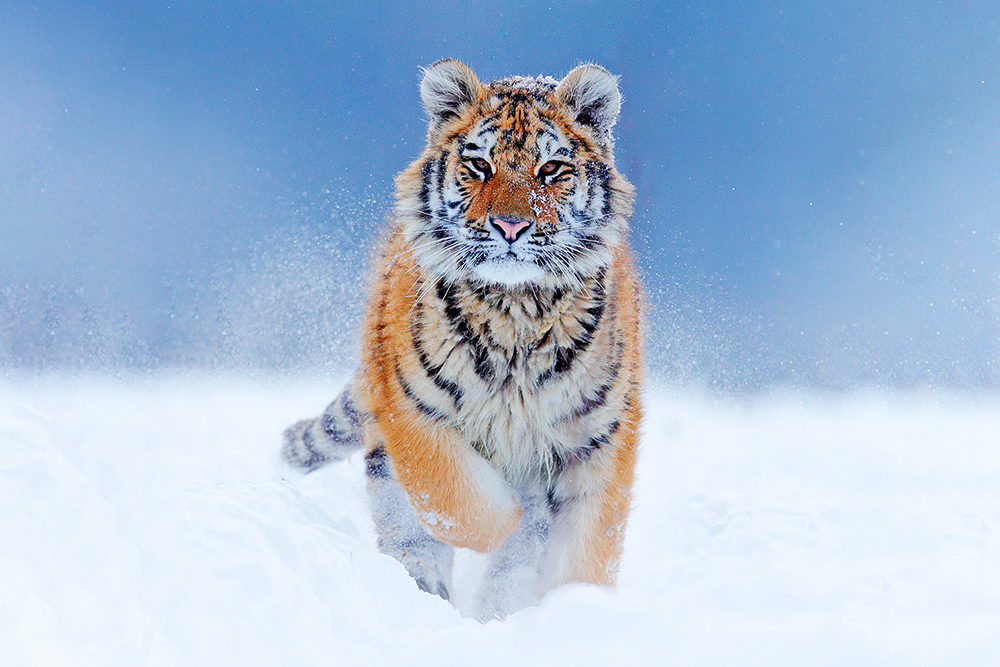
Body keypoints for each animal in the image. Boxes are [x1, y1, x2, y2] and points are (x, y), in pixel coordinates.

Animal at [282, 59, 642, 620]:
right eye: (479, 164)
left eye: (551, 169)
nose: (510, 226)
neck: (517, 310)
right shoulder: (412, 409)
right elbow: (463, 503)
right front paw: (513, 521)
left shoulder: (599, 434)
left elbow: (588, 543)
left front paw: (575, 607)